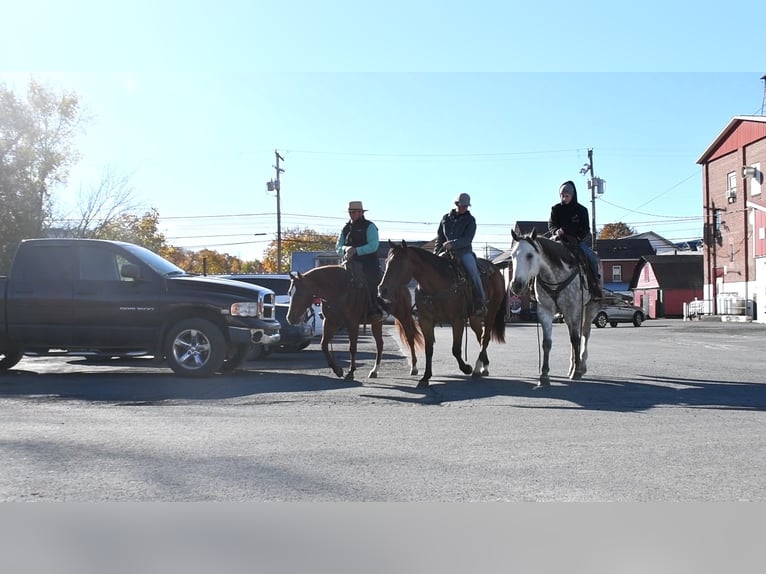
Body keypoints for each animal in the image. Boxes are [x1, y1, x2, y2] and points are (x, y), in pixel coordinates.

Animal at [286, 266, 424, 382]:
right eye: (289, 292)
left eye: (300, 293)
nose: (290, 318)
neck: (339, 290)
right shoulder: (330, 322)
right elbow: (323, 345)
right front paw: (338, 370)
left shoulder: (352, 323)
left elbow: (352, 348)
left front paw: (350, 372)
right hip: (377, 322)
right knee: (380, 344)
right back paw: (374, 371)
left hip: (403, 315)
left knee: (410, 338)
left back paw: (414, 368)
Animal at [380, 241, 510, 390]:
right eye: (386, 261)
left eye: (399, 262)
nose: (382, 290)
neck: (436, 287)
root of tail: (495, 269)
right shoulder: (425, 321)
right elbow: (429, 349)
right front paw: (425, 377)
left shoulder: (457, 320)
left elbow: (455, 349)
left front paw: (466, 368)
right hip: (474, 318)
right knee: (480, 336)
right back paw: (484, 366)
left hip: (491, 312)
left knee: (485, 338)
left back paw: (477, 368)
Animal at [512, 228, 604, 388]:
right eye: (512, 256)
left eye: (530, 255)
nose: (515, 285)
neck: (555, 277)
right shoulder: (545, 311)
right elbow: (547, 343)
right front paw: (544, 375)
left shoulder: (574, 309)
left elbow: (576, 339)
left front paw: (577, 372)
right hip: (567, 315)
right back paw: (572, 366)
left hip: (589, 308)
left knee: (584, 335)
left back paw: (581, 366)